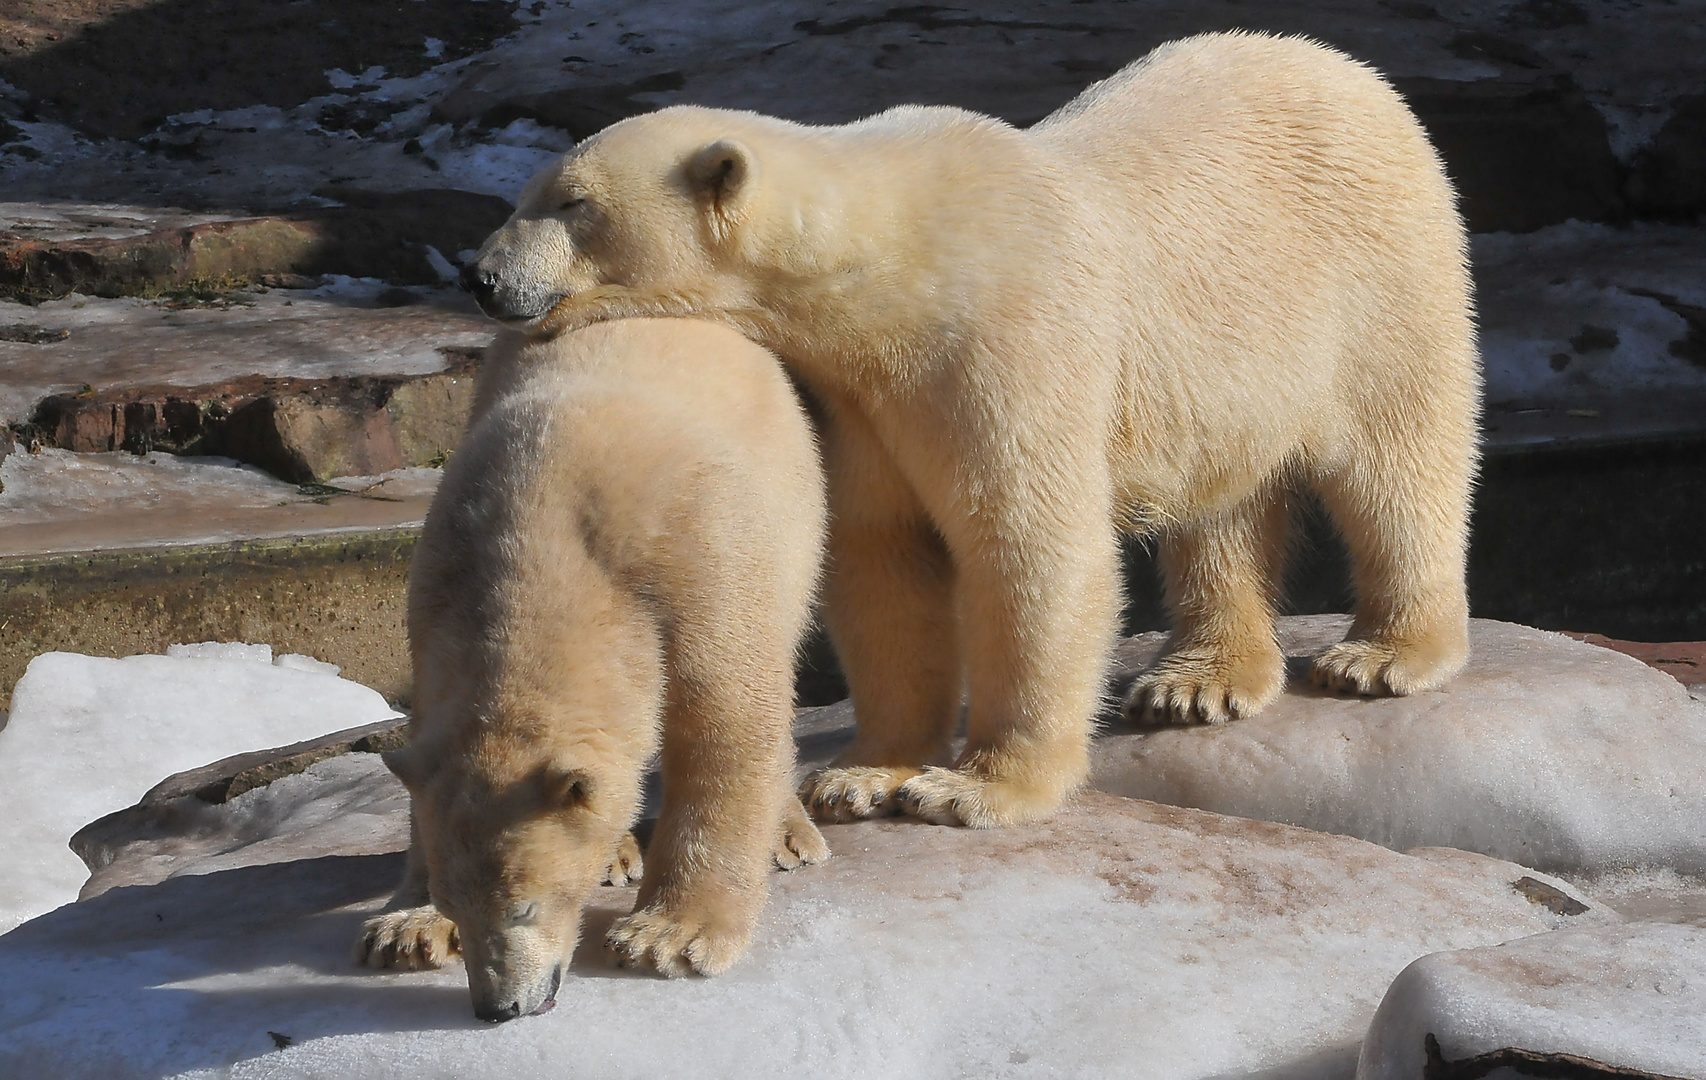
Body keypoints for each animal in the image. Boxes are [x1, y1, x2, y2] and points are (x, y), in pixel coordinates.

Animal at [361, 315, 832, 1016]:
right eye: (455, 904)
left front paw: (667, 937)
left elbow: (728, 724)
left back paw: (789, 835)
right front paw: (406, 929)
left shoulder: (694, 556)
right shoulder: (437, 584)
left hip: (794, 506)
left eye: (525, 907)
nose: (500, 1007)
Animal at [464, 31, 1480, 825]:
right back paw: (1198, 680)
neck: (891, 271)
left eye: (573, 203)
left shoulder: (1002, 343)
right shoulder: (858, 399)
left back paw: (1385, 655)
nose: (481, 277)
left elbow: (1030, 547)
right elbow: (883, 557)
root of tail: (1349, 70)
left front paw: (975, 788)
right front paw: (862, 774)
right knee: (1222, 501)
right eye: (529, 191)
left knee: (1399, 457)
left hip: (1379, 271)